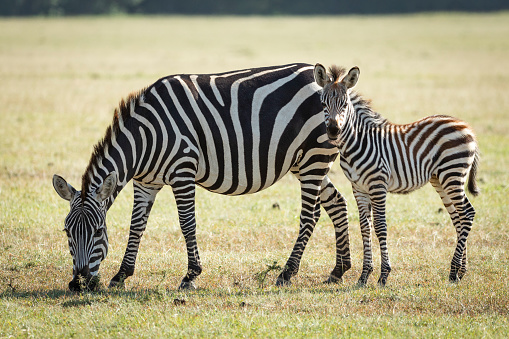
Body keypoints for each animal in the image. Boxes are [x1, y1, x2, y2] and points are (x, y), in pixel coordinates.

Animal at [51, 63, 356, 292]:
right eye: (67, 231)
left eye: (98, 231)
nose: (78, 284)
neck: (146, 138)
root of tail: (333, 83)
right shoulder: (146, 182)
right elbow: (136, 226)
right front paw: (121, 275)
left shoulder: (182, 171)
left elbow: (187, 224)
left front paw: (191, 275)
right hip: (305, 161)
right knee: (336, 204)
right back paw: (338, 270)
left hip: (314, 157)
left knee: (309, 215)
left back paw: (287, 273)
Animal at [312, 63, 478, 286]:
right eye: (323, 103)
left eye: (345, 104)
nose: (332, 130)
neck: (358, 142)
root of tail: (466, 126)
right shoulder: (359, 188)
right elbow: (365, 227)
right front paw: (364, 276)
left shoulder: (378, 185)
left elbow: (380, 226)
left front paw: (384, 275)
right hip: (441, 179)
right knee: (459, 218)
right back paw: (460, 271)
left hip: (453, 174)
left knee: (467, 214)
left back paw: (453, 271)